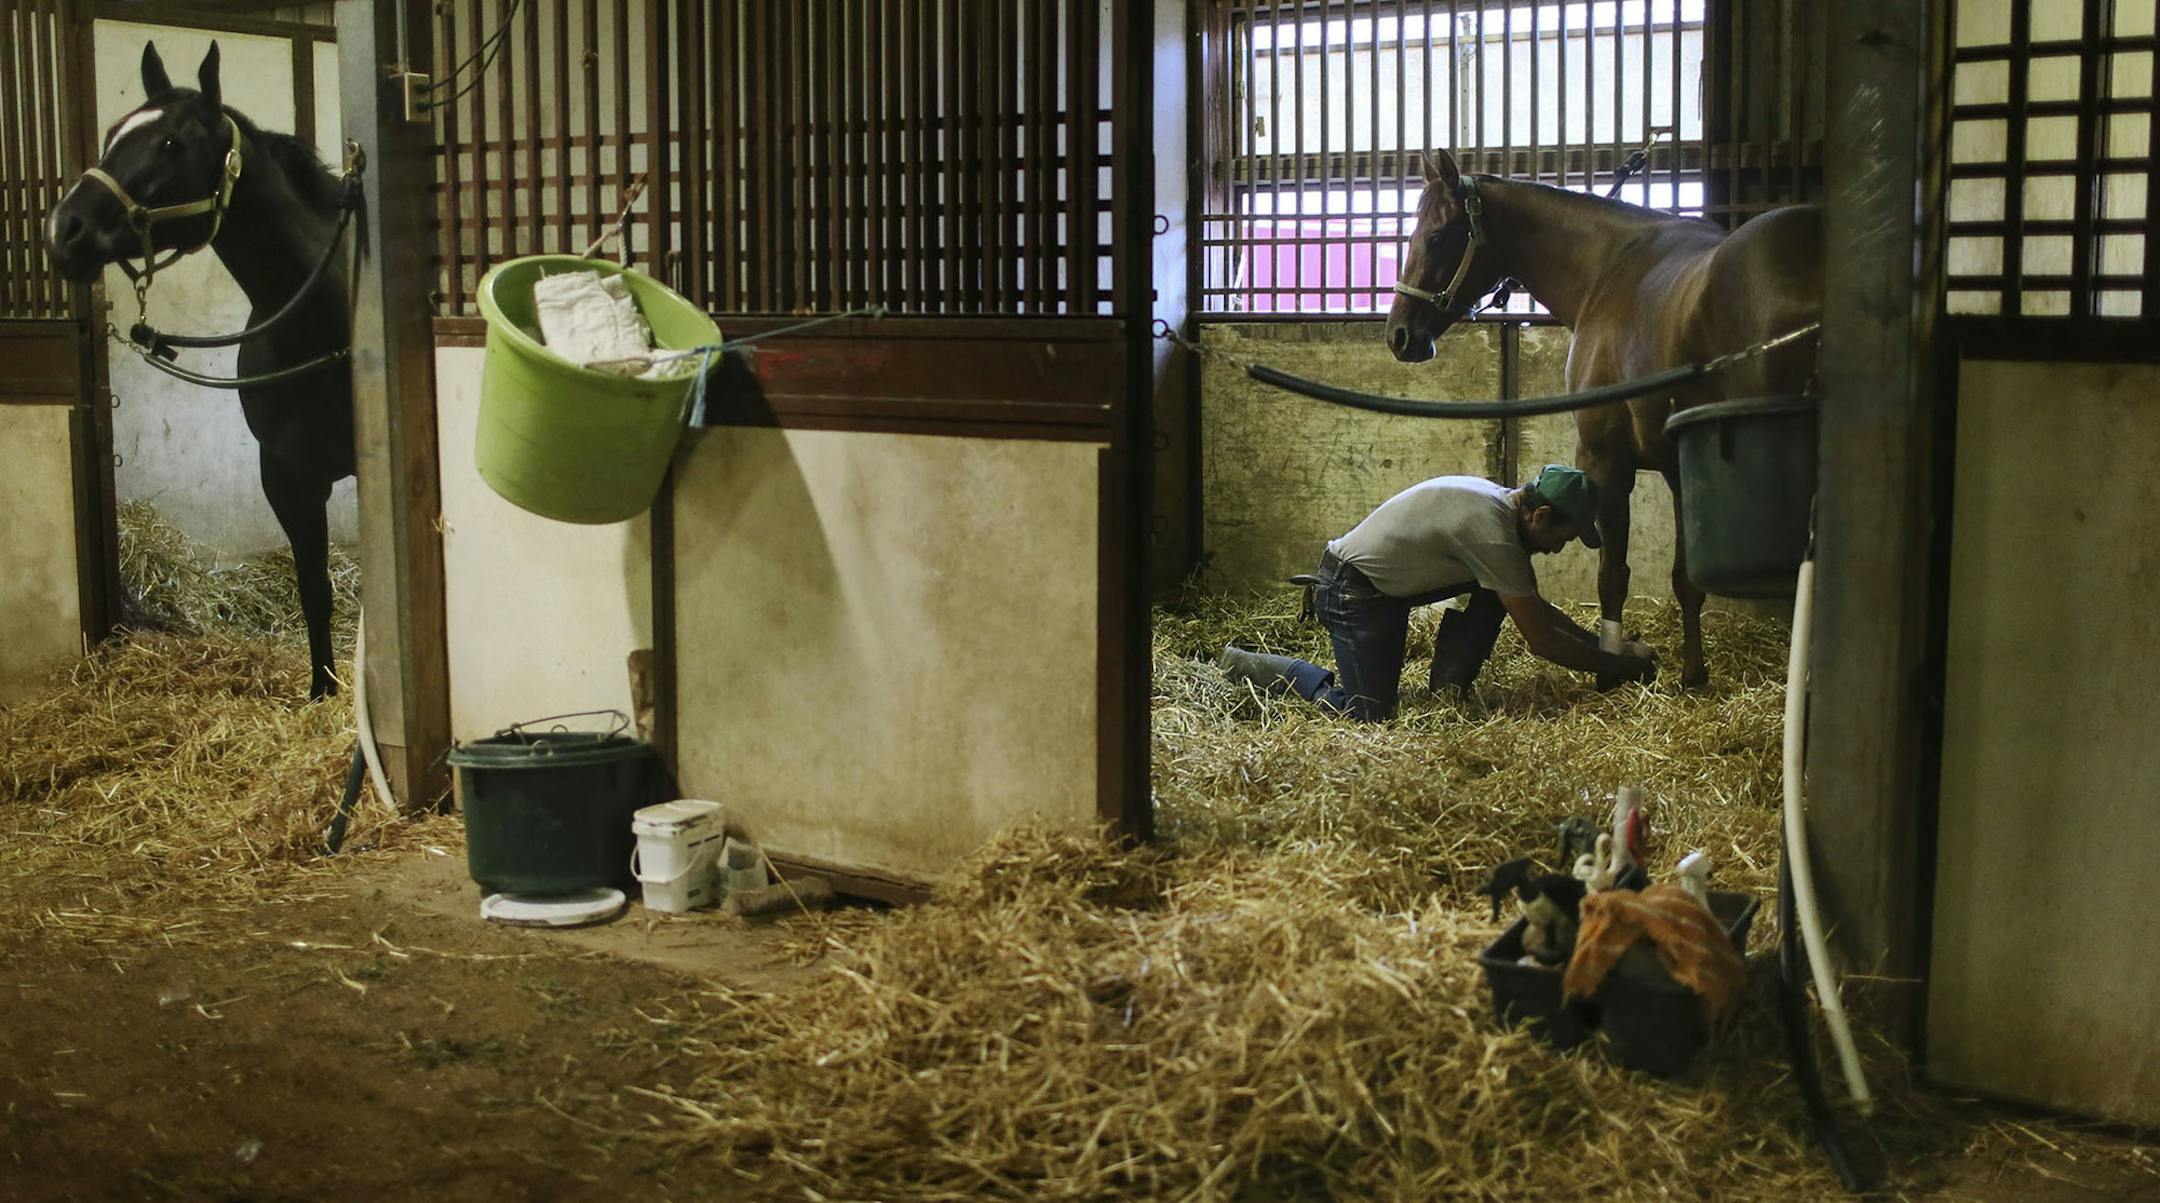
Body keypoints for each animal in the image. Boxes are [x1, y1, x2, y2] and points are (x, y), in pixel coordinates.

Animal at [45, 42, 355, 700]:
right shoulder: (286, 476)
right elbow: (315, 590)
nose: (63, 232)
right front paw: (322, 693)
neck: (321, 323)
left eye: (170, 143)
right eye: (112, 133)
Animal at [1382, 149, 1821, 689]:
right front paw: (1692, 674)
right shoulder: (1681, 468)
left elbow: (1612, 575)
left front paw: (1611, 672)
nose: (1400, 335)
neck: (1609, 271)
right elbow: (1685, 578)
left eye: (1438, 235)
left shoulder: (1606, 458)